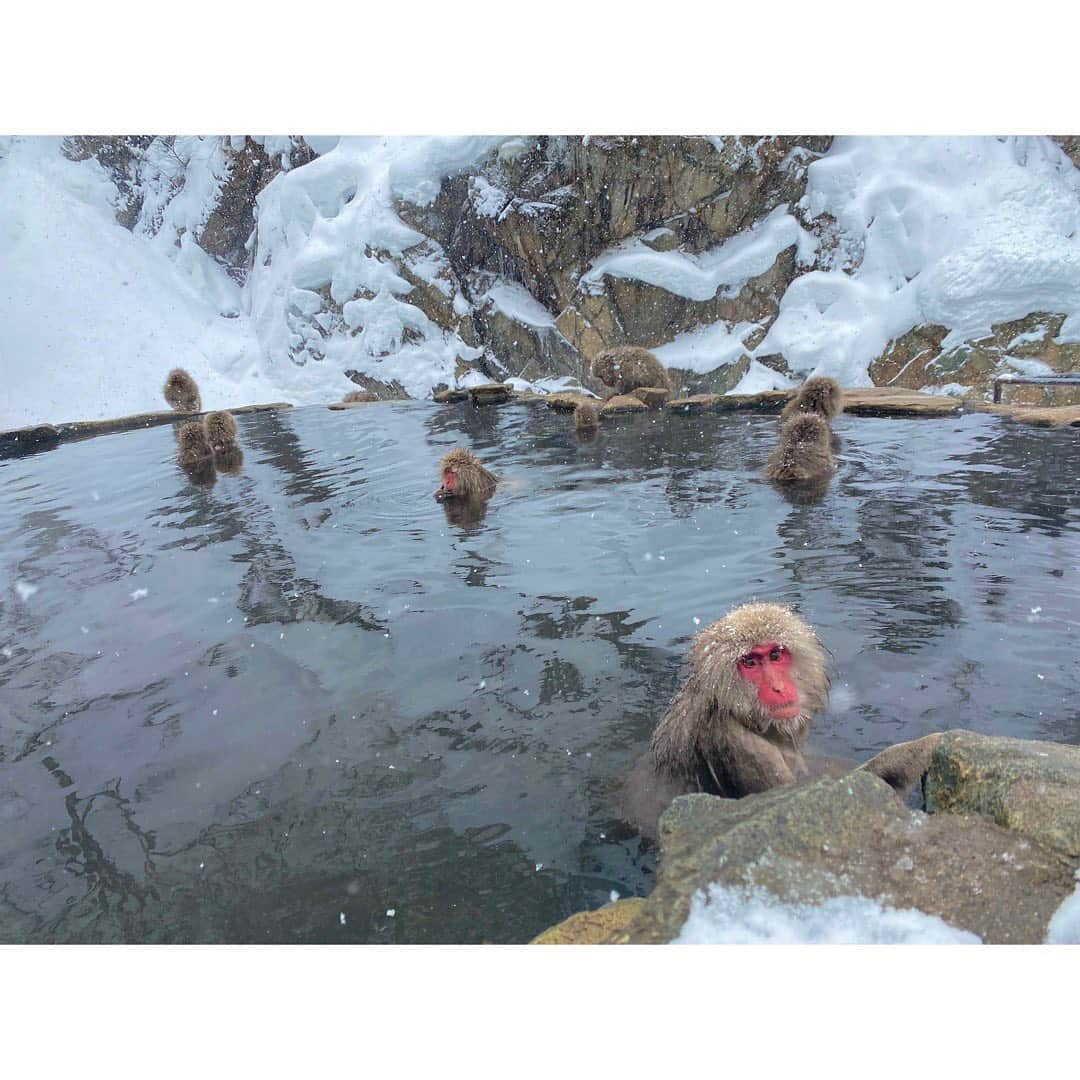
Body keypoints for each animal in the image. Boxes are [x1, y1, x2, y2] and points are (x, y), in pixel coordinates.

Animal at [622, 600, 941, 842]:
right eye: (750, 662)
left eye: (775, 655)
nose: (777, 688)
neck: (740, 713)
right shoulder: (736, 744)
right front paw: (921, 748)